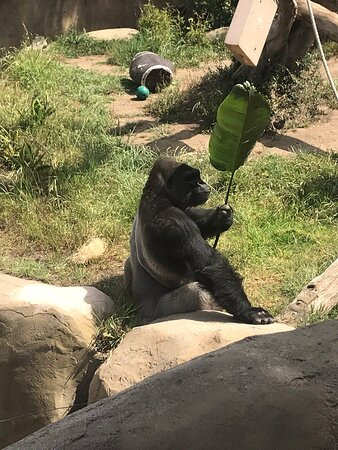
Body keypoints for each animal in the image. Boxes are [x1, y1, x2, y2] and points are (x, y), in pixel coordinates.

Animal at [125, 157, 274, 324]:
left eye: (198, 176)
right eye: (190, 178)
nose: (201, 183)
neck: (155, 195)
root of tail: (141, 314)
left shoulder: (184, 210)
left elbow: (199, 221)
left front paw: (221, 217)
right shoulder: (174, 221)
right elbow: (210, 265)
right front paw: (248, 310)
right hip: (160, 313)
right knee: (197, 292)